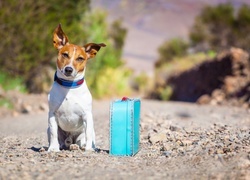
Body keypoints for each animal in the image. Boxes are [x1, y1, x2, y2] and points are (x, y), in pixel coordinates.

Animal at [47, 23, 105, 152]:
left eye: (80, 58)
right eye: (65, 54)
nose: (69, 69)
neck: (69, 86)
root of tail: (70, 139)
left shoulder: (87, 115)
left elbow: (88, 134)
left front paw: (88, 149)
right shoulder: (52, 114)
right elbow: (53, 133)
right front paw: (53, 149)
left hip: (86, 132)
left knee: (82, 140)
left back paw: (79, 146)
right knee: (60, 141)